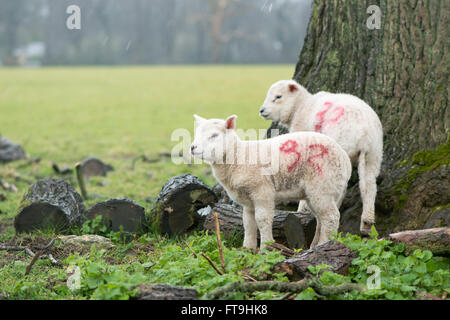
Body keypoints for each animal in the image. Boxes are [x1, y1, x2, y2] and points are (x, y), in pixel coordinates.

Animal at [190, 114, 352, 249]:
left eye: (214, 135)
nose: (192, 147)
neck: (238, 158)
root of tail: (345, 160)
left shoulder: (262, 190)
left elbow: (262, 219)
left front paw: (266, 246)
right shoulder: (247, 199)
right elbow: (248, 222)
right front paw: (248, 248)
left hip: (323, 185)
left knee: (331, 217)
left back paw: (324, 244)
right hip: (317, 192)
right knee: (320, 218)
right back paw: (314, 245)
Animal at [260, 79, 384, 235]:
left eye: (278, 97)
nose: (262, 110)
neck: (300, 107)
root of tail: (365, 136)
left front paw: (302, 209)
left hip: (338, 152)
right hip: (374, 155)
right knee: (369, 186)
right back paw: (367, 222)